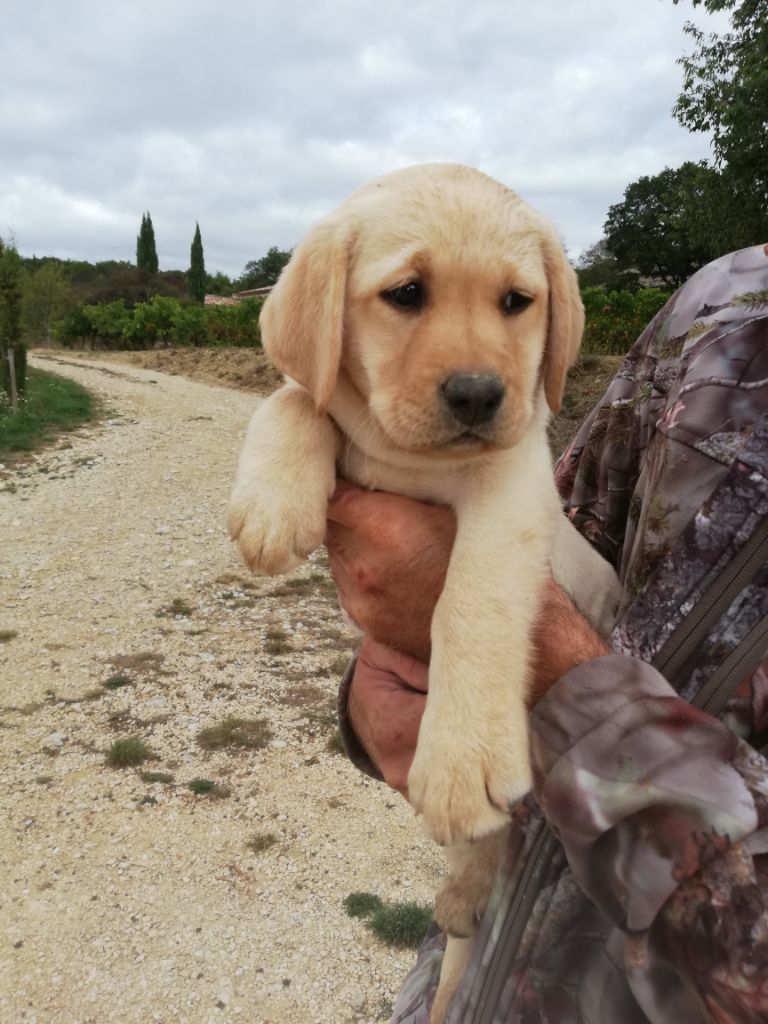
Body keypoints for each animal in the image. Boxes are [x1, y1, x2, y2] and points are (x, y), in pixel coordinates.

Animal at [227, 163, 618, 1019]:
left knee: (493, 840)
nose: (478, 394)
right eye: (406, 293)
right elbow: (294, 397)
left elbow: (473, 601)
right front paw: (273, 503)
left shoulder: (513, 486)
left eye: (517, 301)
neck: (413, 461)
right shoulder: (338, 415)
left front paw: (460, 754)